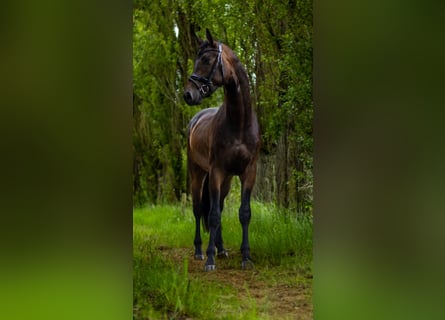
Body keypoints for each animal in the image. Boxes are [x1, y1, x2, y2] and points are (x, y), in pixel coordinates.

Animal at [183, 28, 260, 272]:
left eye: (207, 60)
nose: (188, 94)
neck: (239, 123)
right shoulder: (215, 171)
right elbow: (213, 215)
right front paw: (209, 259)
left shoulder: (248, 172)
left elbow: (244, 213)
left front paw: (246, 257)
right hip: (198, 175)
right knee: (199, 209)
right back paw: (199, 251)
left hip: (226, 180)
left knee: (220, 205)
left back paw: (222, 248)